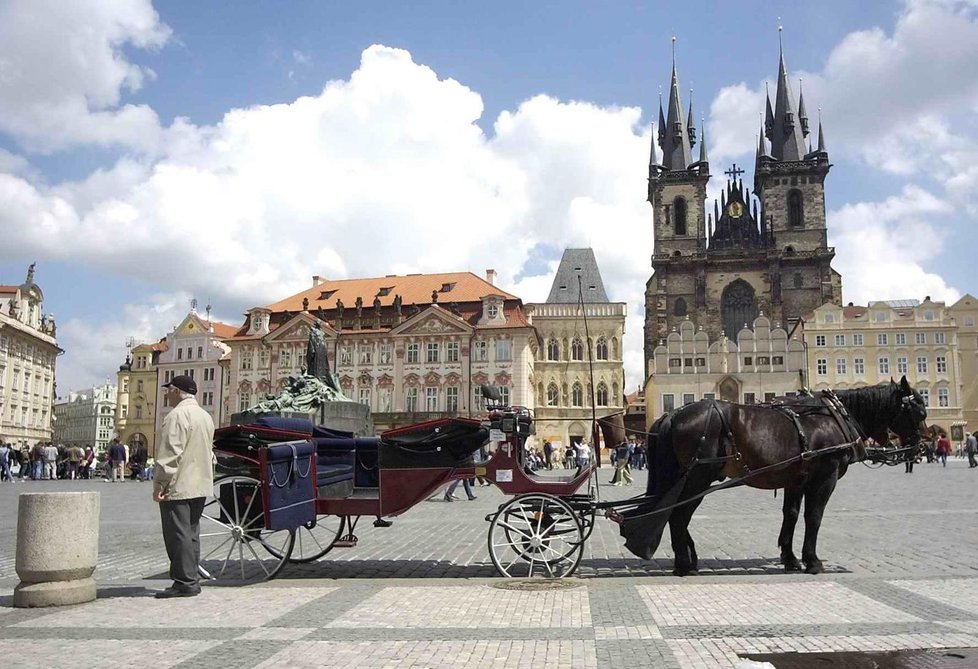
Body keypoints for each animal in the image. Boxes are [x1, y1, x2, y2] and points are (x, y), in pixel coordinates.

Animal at [620, 376, 928, 576]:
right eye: (918, 409)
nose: (921, 446)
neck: (832, 416)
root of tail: (673, 415)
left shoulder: (796, 480)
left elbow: (790, 516)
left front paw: (790, 559)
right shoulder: (824, 479)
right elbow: (814, 517)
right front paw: (812, 561)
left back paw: (687, 560)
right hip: (698, 478)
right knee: (678, 516)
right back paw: (685, 565)